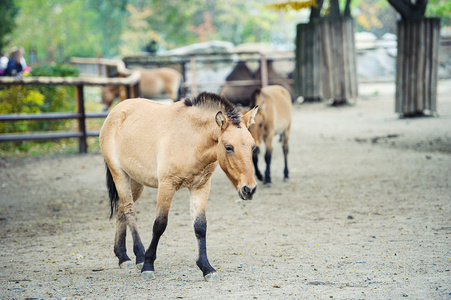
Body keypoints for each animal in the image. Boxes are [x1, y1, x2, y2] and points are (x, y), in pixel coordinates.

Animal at [100, 92, 260, 282]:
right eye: (229, 147)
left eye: (252, 146)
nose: (249, 189)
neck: (191, 140)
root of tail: (115, 111)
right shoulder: (167, 186)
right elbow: (159, 225)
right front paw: (148, 265)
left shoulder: (201, 187)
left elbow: (200, 227)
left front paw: (206, 268)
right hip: (119, 175)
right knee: (130, 211)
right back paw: (139, 257)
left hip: (136, 182)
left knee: (121, 209)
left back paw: (122, 256)